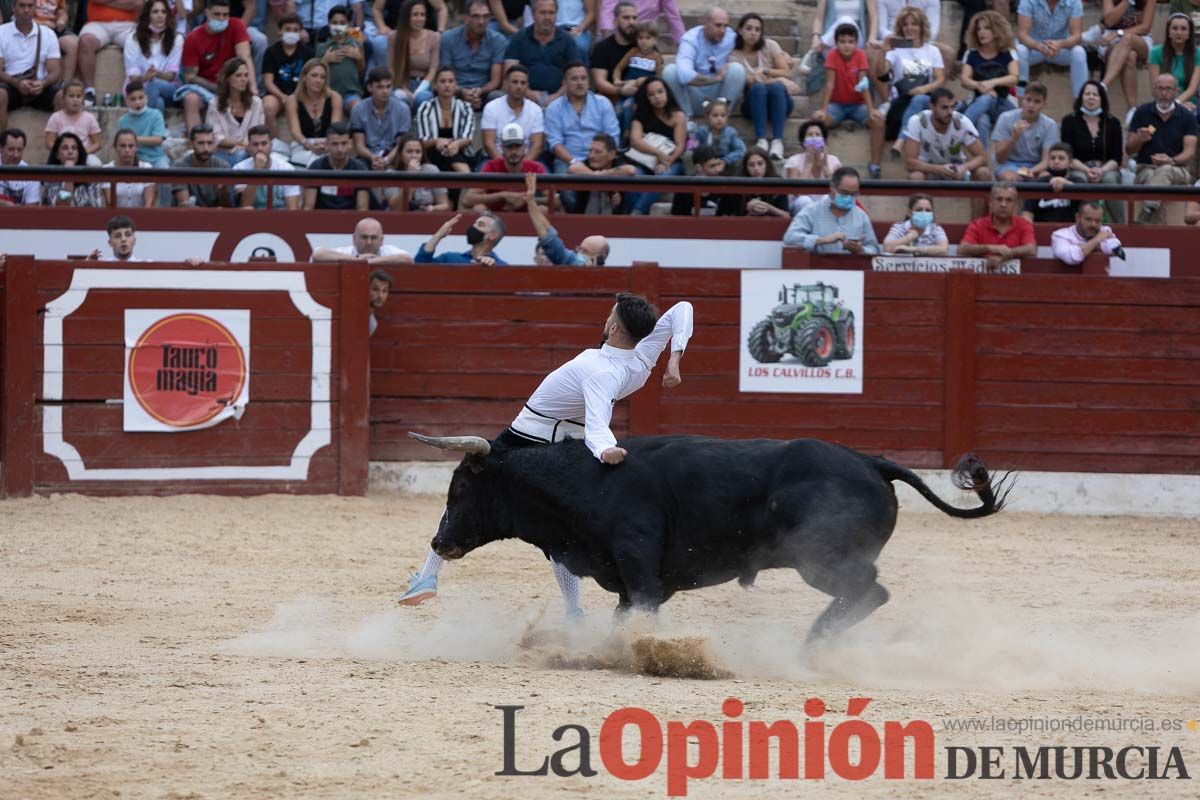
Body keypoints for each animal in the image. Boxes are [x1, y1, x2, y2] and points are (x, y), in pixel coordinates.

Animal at [408, 434, 1008, 642]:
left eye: (461, 486)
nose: (438, 543)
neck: (588, 479)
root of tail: (872, 462)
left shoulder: (640, 570)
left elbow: (641, 617)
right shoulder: (633, 582)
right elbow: (623, 619)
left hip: (820, 561)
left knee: (871, 591)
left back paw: (814, 643)